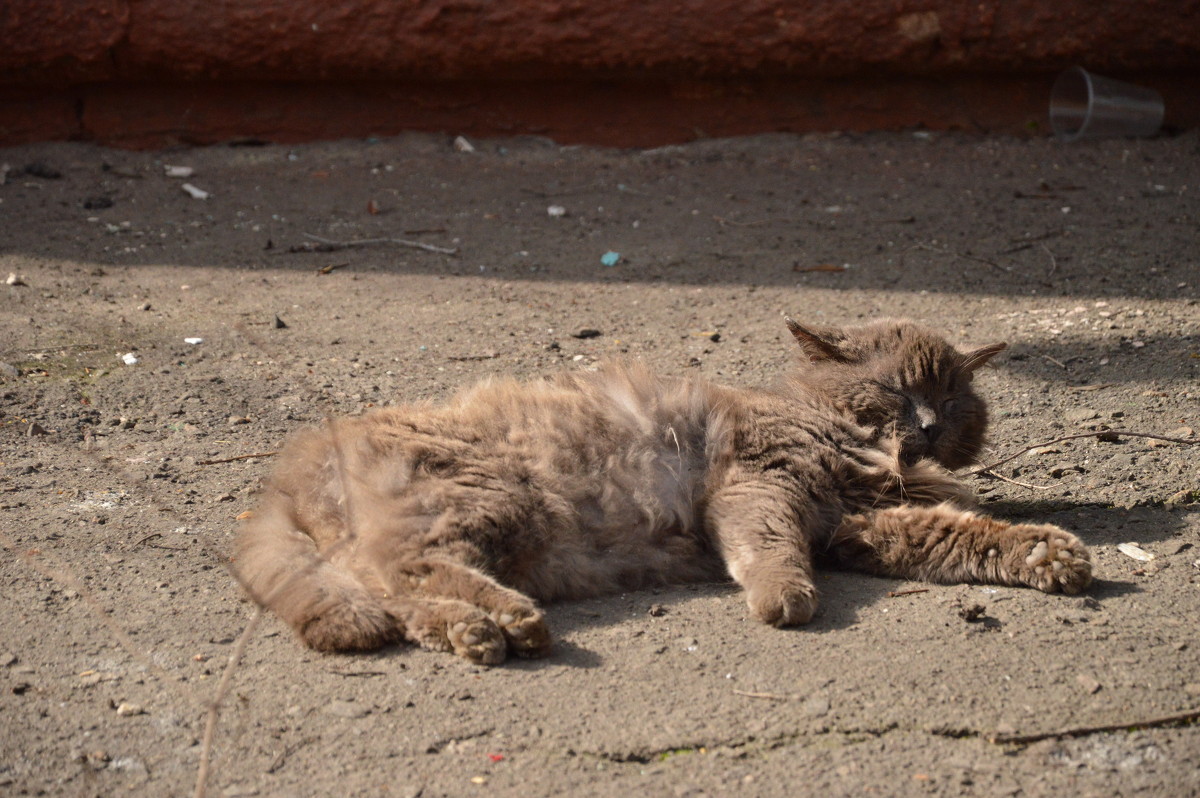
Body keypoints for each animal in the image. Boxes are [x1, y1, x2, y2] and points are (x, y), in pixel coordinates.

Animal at [231, 316, 1089, 657]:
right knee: (397, 574)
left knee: (393, 590)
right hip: (485, 499)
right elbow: (769, 545)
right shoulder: (759, 479)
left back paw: (485, 629)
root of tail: (296, 465)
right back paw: (502, 625)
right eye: (892, 389)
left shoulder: (865, 525)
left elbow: (968, 536)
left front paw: (1050, 554)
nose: (928, 425)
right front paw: (784, 597)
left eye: (951, 395)